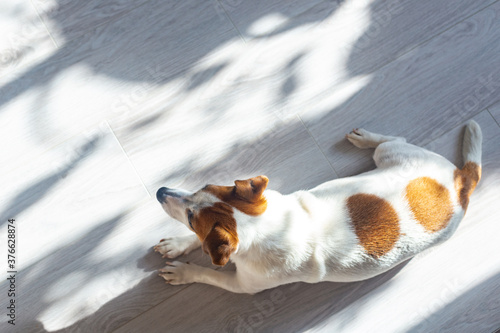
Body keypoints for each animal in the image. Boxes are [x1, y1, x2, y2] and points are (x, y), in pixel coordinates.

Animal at [154, 122, 482, 294]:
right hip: (392, 154)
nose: (160, 191)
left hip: (396, 156)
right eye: (203, 186)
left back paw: (365, 138)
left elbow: (210, 274)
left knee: (393, 138)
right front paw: (176, 244)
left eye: (191, 217)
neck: (267, 227)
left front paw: (184, 272)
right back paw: (365, 138)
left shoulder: (242, 284)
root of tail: (461, 180)